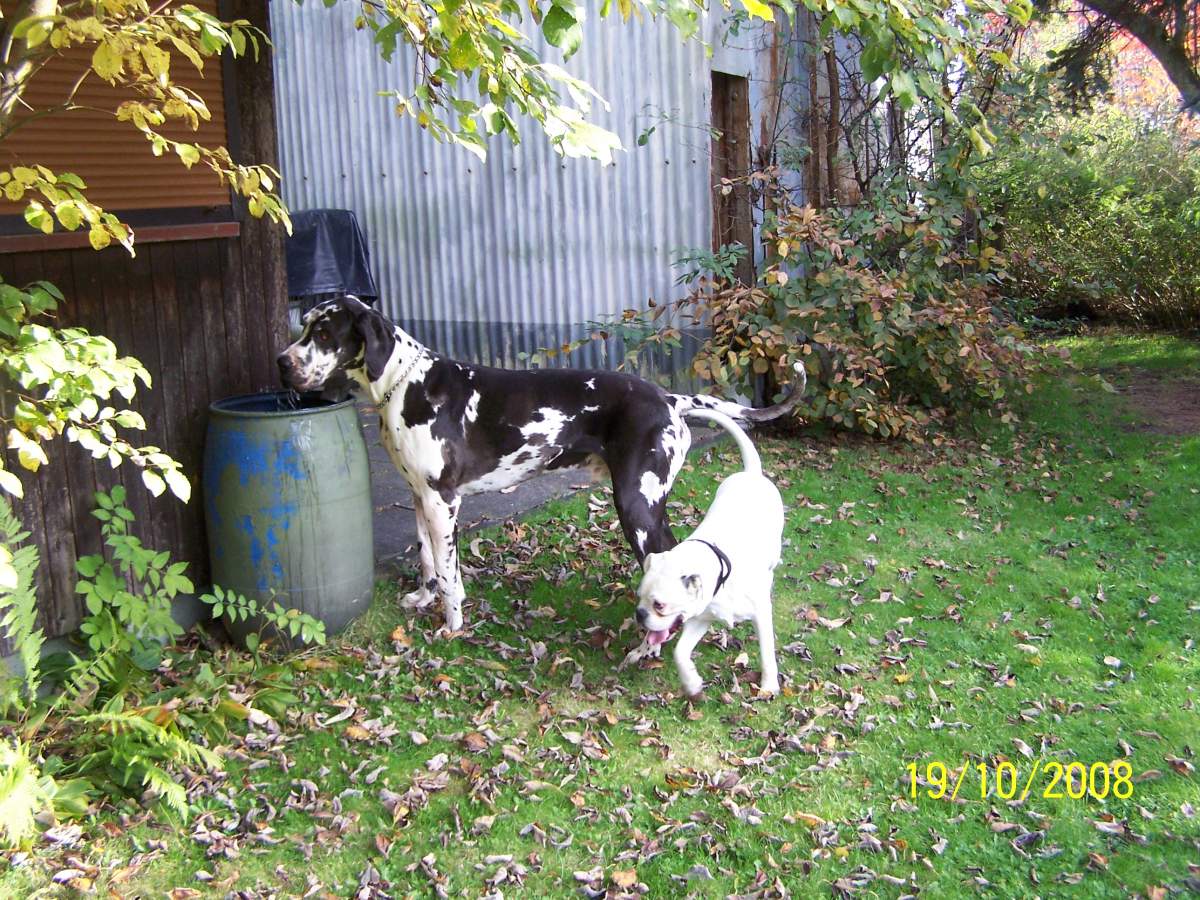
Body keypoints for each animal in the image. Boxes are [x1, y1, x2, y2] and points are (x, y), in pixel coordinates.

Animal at [276, 295, 805, 634]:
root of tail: (668, 397)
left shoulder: (443, 502)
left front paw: (451, 624)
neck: (406, 383)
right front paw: (423, 599)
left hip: (637, 505)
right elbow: (427, 560)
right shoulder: (419, 498)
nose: (282, 362)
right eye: (302, 327)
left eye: (323, 332)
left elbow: (449, 575)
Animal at [629, 409, 783, 698]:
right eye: (639, 598)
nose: (640, 614)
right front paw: (691, 683)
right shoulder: (699, 618)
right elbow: (680, 653)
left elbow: (767, 653)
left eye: (659, 605)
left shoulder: (762, 615)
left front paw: (769, 685)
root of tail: (751, 473)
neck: (722, 568)